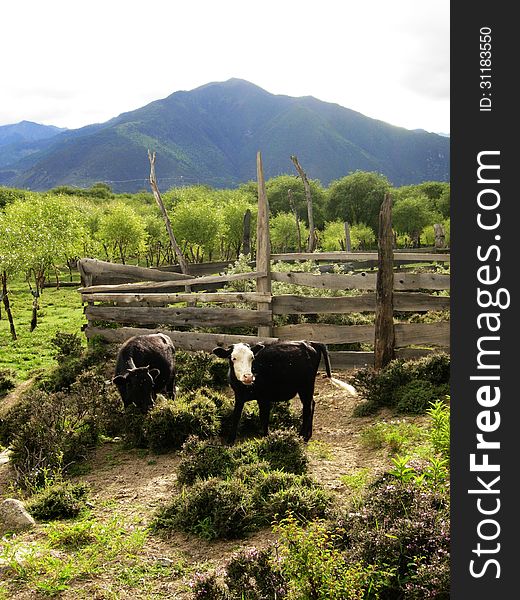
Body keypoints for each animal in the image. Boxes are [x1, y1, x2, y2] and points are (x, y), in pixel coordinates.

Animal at [212, 340, 358, 442]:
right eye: (233, 358)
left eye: (252, 357)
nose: (248, 376)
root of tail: (310, 343)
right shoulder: (239, 397)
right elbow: (236, 417)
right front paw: (230, 441)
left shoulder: (264, 398)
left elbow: (264, 419)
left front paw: (266, 439)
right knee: (312, 404)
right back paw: (308, 435)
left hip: (306, 386)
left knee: (307, 408)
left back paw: (301, 436)